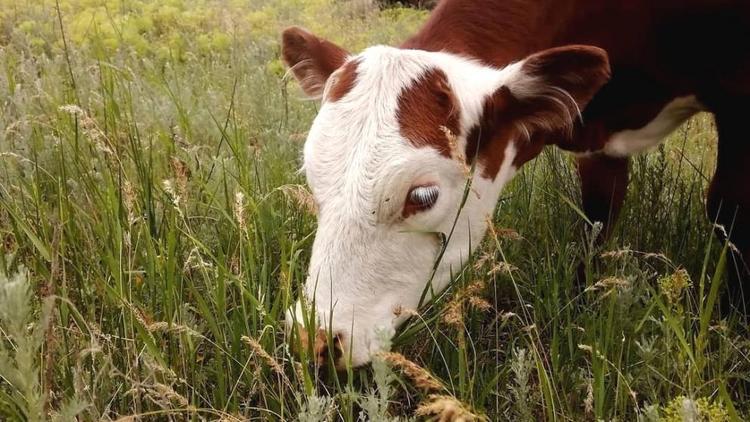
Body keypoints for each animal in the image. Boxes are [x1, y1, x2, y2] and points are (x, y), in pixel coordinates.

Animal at [282, 0, 750, 368]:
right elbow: (597, 217)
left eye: (423, 195)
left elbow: (728, 211)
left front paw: (733, 321)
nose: (314, 337)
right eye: (313, 179)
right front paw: (583, 302)